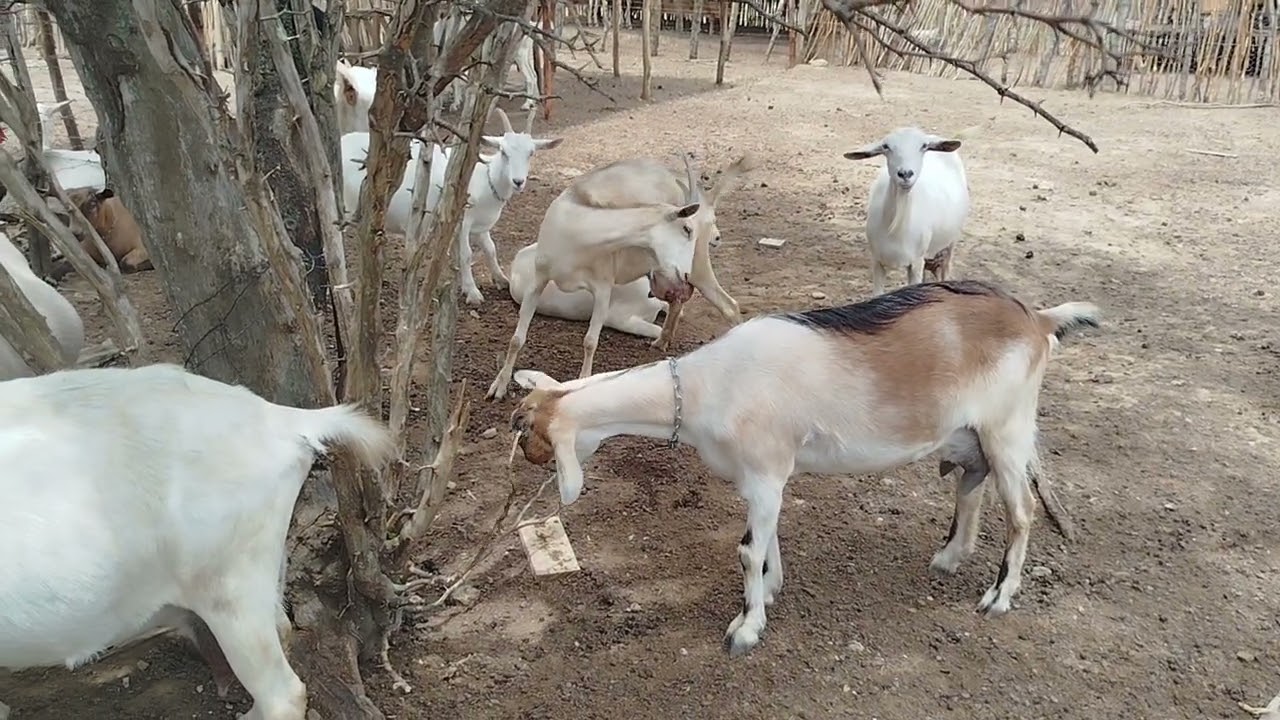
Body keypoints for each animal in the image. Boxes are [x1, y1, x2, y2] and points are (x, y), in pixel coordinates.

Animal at [340, 108, 561, 305]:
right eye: (503, 152)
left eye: (531, 153)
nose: (518, 181)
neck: (485, 178)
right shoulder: (463, 219)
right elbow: (466, 254)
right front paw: (472, 292)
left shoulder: (480, 225)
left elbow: (490, 249)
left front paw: (501, 280)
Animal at [508, 280, 1101, 656]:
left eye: (529, 429)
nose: (529, 461)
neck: (703, 388)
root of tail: (1038, 320)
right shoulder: (761, 481)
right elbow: (764, 539)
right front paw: (771, 590)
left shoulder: (767, 471)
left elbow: (746, 551)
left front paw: (746, 629)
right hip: (972, 435)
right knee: (970, 488)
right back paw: (949, 558)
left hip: (1008, 429)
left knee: (1022, 512)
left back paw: (999, 597)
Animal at [844, 126, 971, 296]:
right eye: (886, 146)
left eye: (924, 146)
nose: (905, 174)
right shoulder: (877, 260)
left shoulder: (915, 261)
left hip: (950, 243)